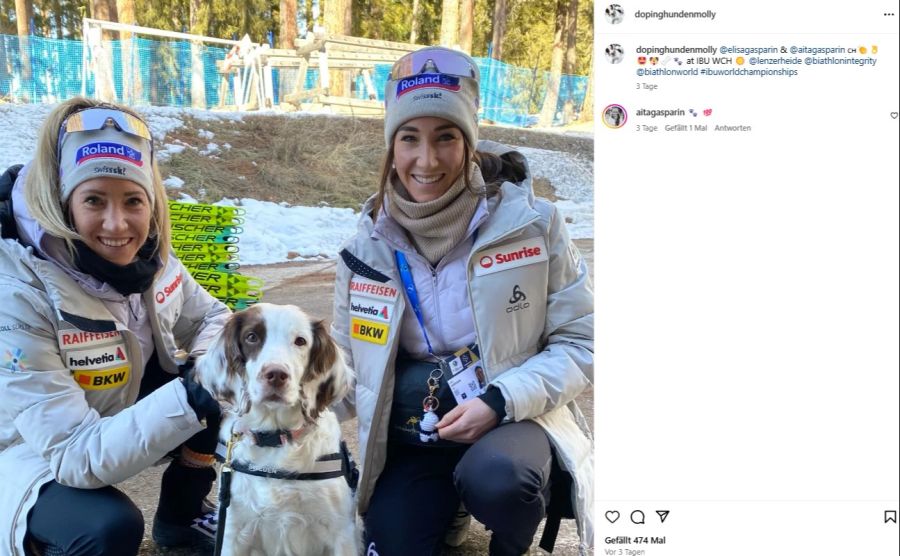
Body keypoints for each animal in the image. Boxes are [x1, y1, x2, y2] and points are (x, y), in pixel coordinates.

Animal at [193, 304, 358, 556]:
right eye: (252, 337)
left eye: (300, 341)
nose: (276, 375)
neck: (276, 440)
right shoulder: (233, 531)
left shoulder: (340, 533)